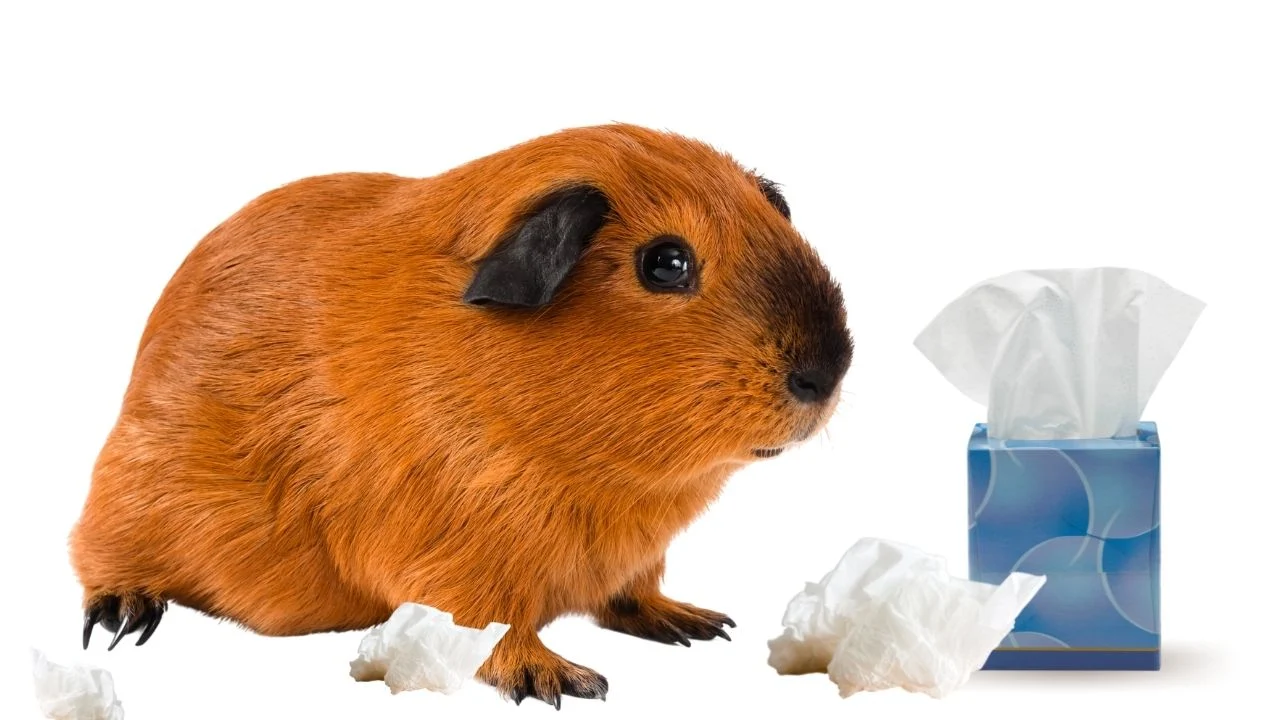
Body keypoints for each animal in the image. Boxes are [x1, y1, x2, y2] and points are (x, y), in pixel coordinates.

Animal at [70, 123, 853, 707]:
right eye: (665, 263)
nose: (828, 367)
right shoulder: (460, 559)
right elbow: (495, 629)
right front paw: (564, 681)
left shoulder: (640, 556)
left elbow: (632, 596)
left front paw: (702, 628)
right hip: (127, 501)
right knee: (94, 560)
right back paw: (122, 619)